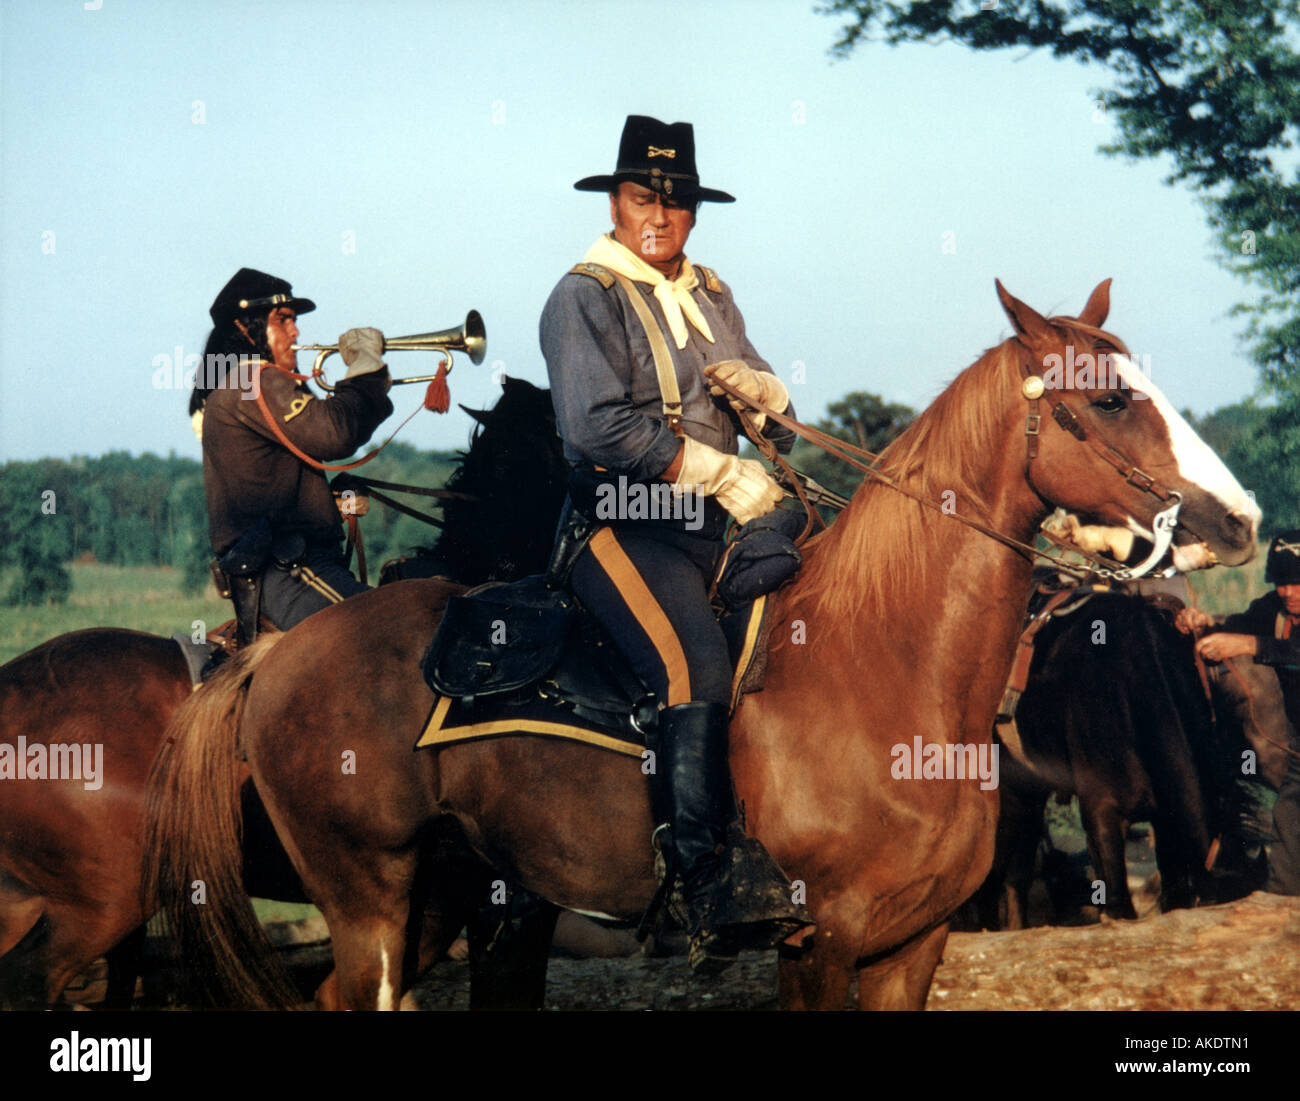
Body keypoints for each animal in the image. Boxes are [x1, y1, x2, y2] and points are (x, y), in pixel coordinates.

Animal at [142, 279, 1258, 1013]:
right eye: (1107, 399)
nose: (1241, 520)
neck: (890, 669)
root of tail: (276, 657)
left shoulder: (914, 943)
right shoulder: (819, 946)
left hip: (438, 902)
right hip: (369, 898)